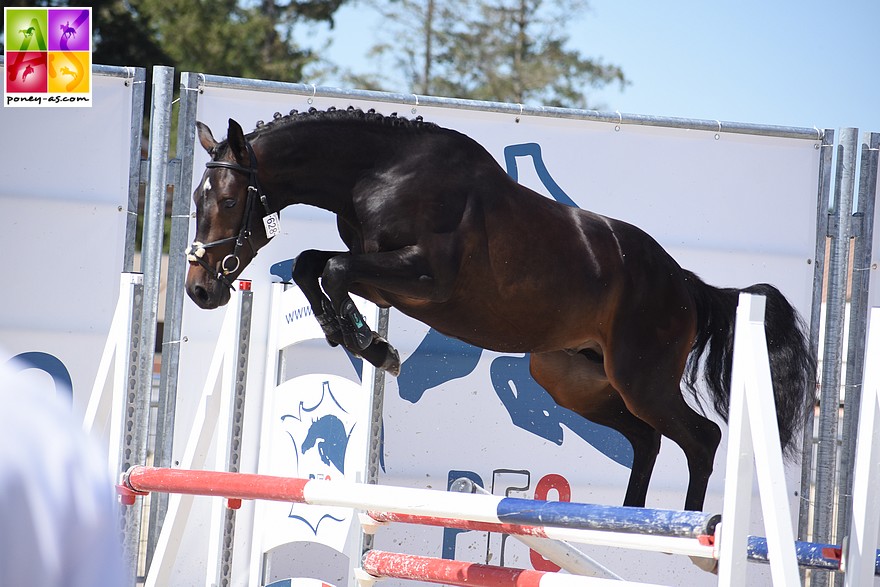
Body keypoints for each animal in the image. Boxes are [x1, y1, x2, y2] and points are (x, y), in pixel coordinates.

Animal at [185, 107, 816, 512]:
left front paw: (373, 347)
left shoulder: (424, 277)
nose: (200, 290)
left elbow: (332, 269)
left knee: (700, 438)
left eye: (227, 200)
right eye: (197, 198)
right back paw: (628, 518)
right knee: (646, 439)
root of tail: (683, 282)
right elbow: (312, 264)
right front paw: (349, 333)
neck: (379, 173)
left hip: (642, 378)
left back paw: (683, 524)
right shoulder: (383, 278)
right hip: (573, 378)